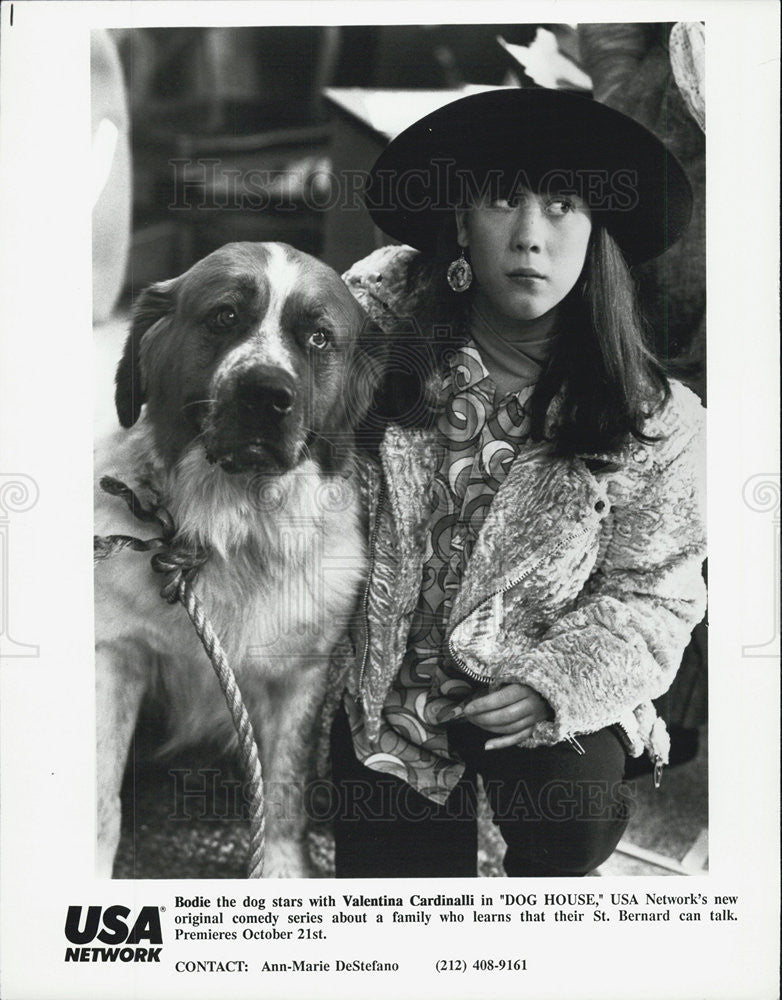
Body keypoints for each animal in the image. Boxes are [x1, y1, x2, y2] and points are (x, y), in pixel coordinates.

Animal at [95, 242, 382, 876]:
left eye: (318, 338)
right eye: (224, 317)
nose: (266, 393)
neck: (232, 529)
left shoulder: (301, 674)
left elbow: (283, 789)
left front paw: (280, 870)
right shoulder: (116, 654)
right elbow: (102, 798)